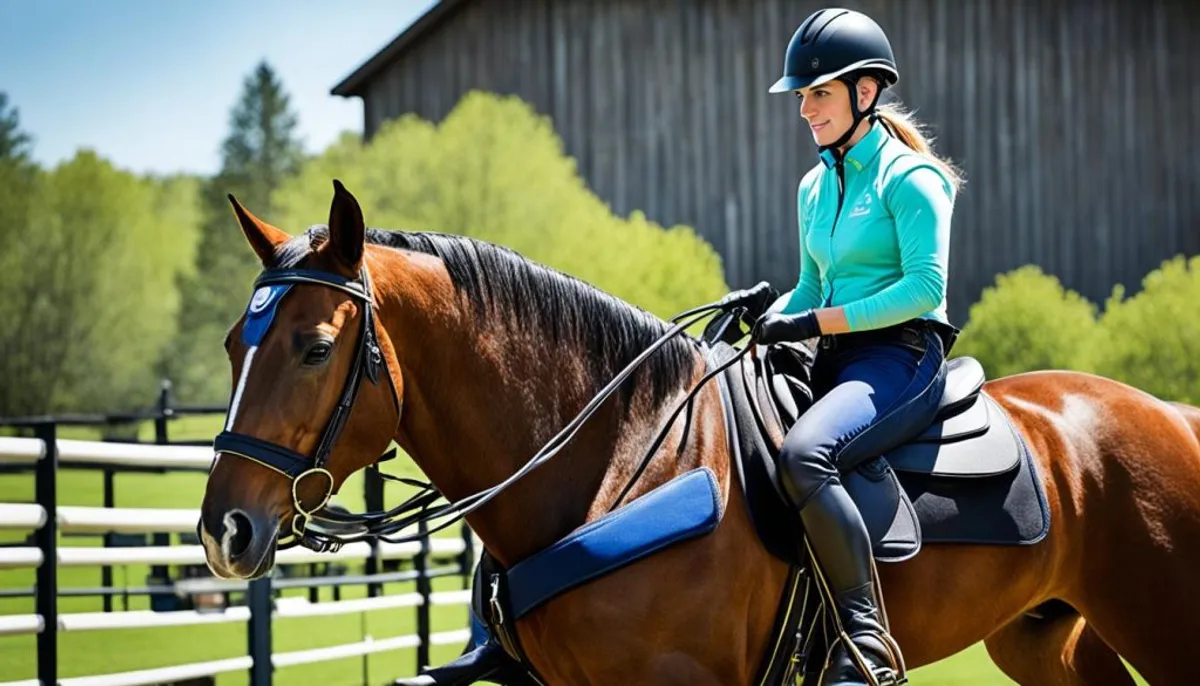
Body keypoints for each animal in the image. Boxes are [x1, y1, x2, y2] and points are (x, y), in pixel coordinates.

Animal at [201, 182, 1195, 686]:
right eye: (232, 343)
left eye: (314, 347)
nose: (224, 531)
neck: (615, 461)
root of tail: (1170, 416)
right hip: (1047, 640)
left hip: (1158, 629)